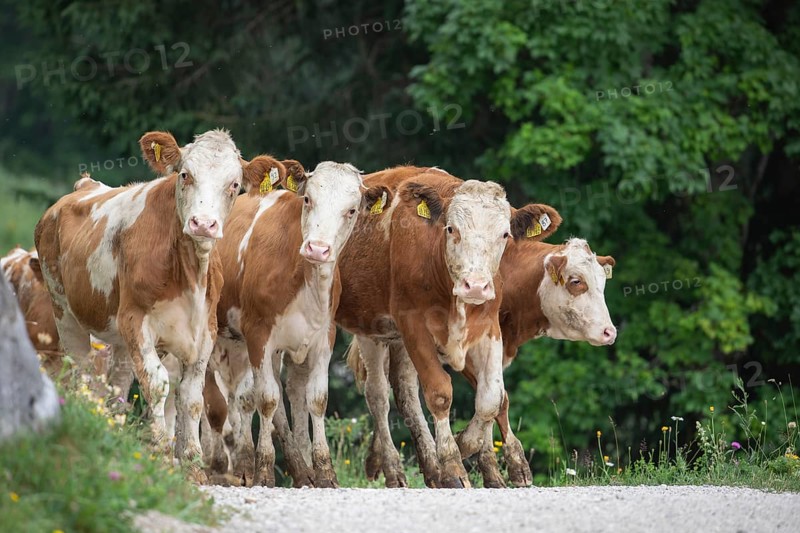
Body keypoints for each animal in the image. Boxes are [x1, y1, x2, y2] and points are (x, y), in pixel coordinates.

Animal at [34, 129, 283, 481]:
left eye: (234, 185)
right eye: (185, 174)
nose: (203, 224)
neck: (186, 270)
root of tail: (85, 187)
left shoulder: (203, 333)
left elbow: (190, 398)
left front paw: (191, 464)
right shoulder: (136, 321)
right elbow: (157, 385)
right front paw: (164, 456)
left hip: (119, 339)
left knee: (117, 385)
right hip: (66, 313)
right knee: (81, 373)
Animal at [205, 161, 391, 487]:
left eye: (351, 210)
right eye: (308, 199)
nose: (317, 248)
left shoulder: (323, 338)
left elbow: (315, 399)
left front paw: (325, 472)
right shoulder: (259, 335)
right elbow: (266, 399)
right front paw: (265, 471)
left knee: (249, 399)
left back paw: (286, 468)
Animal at [349, 236, 617, 487]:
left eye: (603, 284)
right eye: (576, 281)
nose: (609, 332)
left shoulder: (494, 346)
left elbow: (491, 398)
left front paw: (492, 469)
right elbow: (498, 400)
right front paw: (486, 454)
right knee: (383, 394)